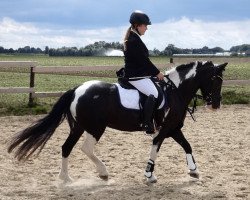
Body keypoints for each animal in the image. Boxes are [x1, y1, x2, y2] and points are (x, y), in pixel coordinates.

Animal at [7, 61, 227, 184]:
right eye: (216, 80)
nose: (216, 104)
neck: (175, 91)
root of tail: (77, 90)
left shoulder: (173, 129)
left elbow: (187, 145)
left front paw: (194, 171)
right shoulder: (164, 129)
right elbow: (156, 147)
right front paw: (149, 175)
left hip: (79, 127)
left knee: (66, 147)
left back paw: (66, 178)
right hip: (96, 128)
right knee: (85, 148)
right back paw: (102, 173)